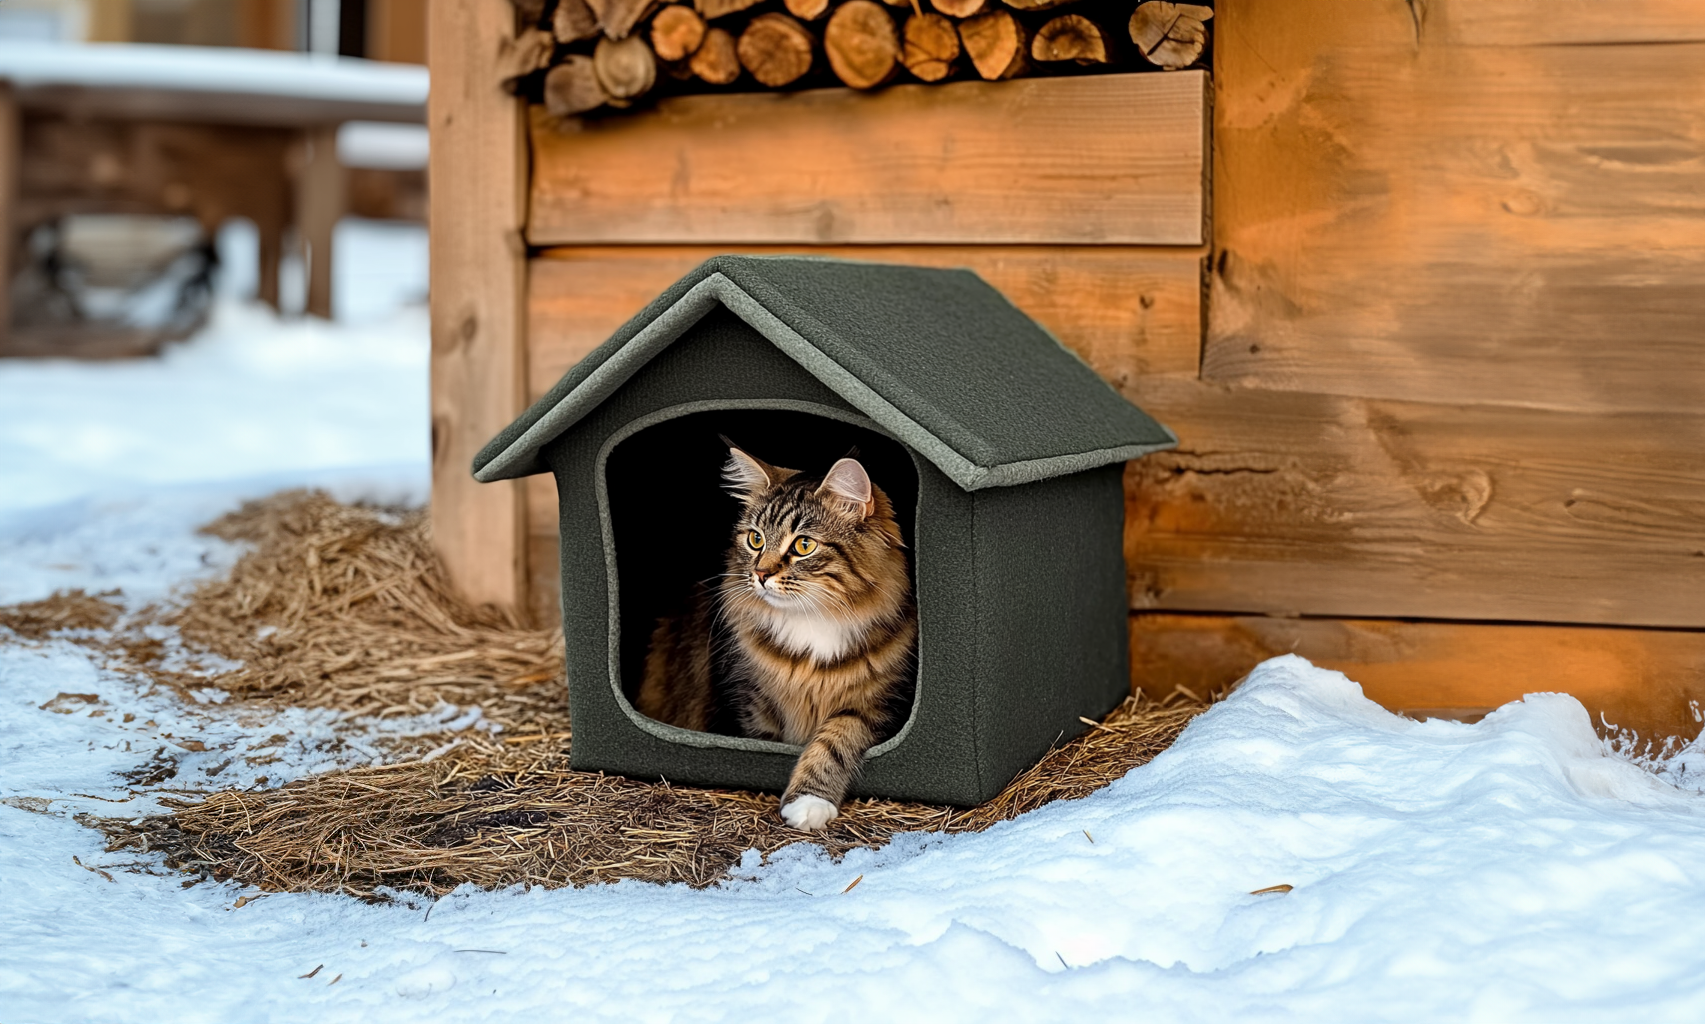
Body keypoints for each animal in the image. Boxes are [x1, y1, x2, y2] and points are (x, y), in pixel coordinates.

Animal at [634, 442, 913, 828]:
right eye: (756, 539)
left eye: (804, 546)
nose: (761, 574)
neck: (813, 619)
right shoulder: (748, 702)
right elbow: (765, 744)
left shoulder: (879, 703)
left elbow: (834, 741)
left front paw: (809, 802)